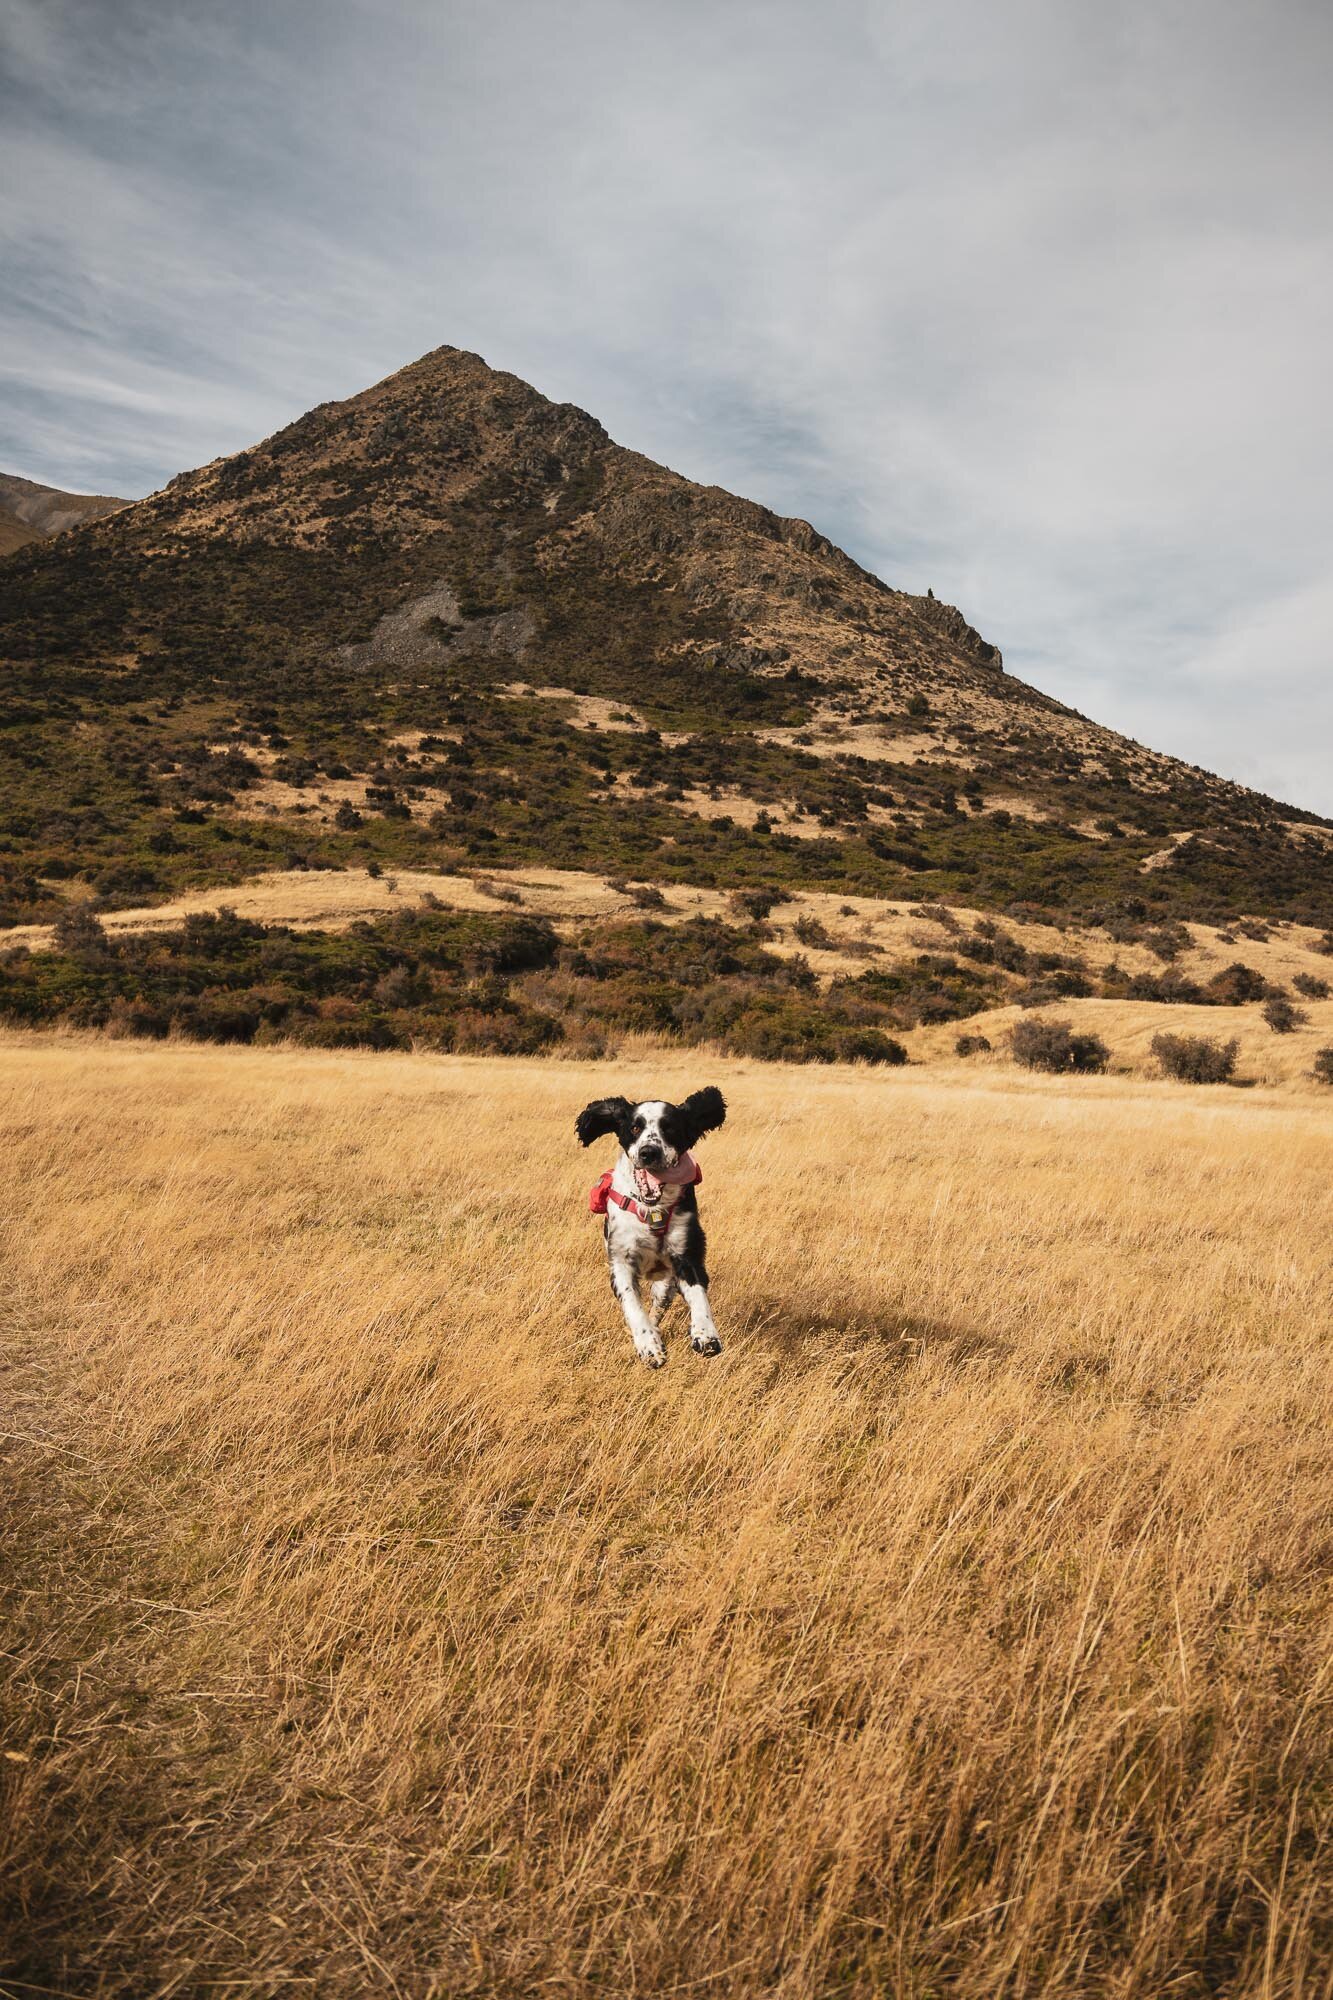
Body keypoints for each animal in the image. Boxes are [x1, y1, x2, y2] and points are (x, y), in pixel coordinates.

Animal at [576, 1088, 728, 1368]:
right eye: (635, 1127)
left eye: (670, 1128)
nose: (649, 1152)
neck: (652, 1211)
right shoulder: (620, 1262)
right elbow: (634, 1307)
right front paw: (649, 1346)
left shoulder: (686, 1255)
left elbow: (699, 1298)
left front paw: (706, 1335)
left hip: (666, 1284)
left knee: (659, 1306)